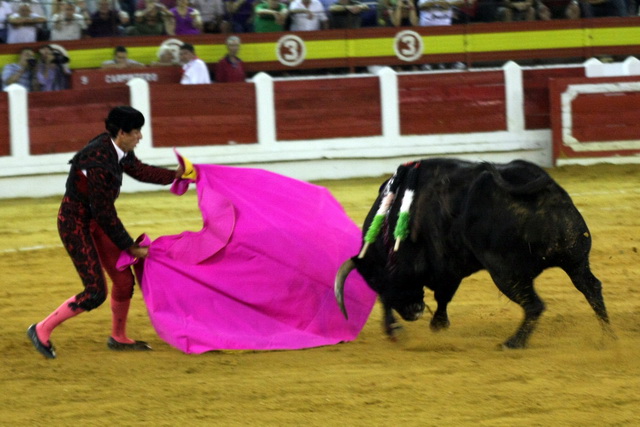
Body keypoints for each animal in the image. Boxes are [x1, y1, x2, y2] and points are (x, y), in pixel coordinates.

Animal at [336, 159, 616, 350]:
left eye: (380, 280)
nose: (412, 311)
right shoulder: (451, 267)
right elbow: (442, 297)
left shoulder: (443, 266)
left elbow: (439, 295)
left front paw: (403, 328)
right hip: (575, 259)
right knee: (591, 288)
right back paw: (608, 336)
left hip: (505, 273)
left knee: (535, 305)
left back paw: (512, 343)